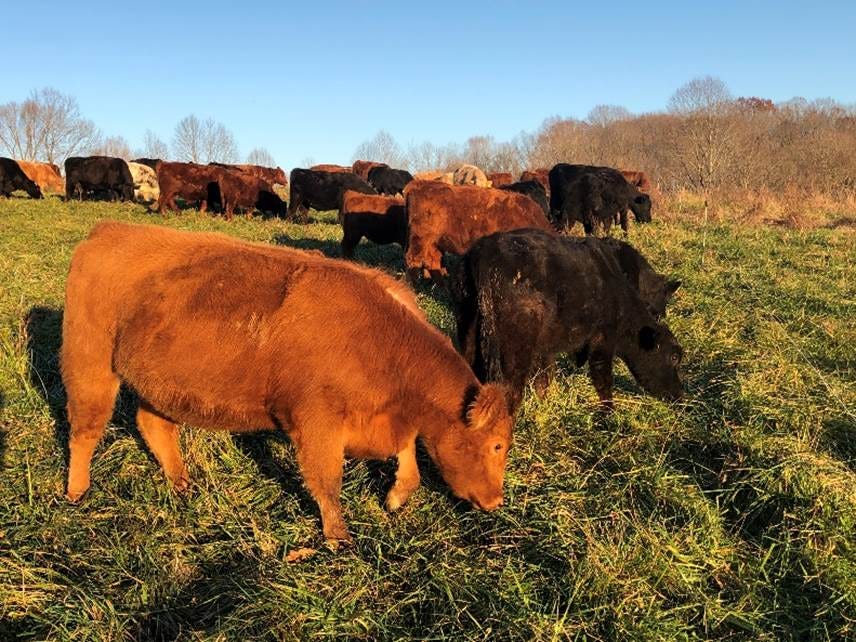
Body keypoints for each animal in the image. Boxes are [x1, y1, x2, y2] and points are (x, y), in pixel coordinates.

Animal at [61, 221, 514, 542]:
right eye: (496, 445)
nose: (496, 501)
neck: (379, 337)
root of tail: (108, 231)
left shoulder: (387, 418)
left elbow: (409, 455)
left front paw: (396, 495)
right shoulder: (317, 423)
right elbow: (327, 482)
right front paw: (339, 538)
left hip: (162, 387)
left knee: (153, 425)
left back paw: (182, 483)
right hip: (90, 365)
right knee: (84, 430)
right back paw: (76, 492)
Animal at [450, 228, 683, 410]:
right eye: (673, 357)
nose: (680, 395)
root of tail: (486, 251)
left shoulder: (547, 347)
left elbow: (544, 378)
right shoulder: (602, 341)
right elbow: (603, 379)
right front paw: (609, 413)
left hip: (468, 328)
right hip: (516, 352)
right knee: (511, 392)